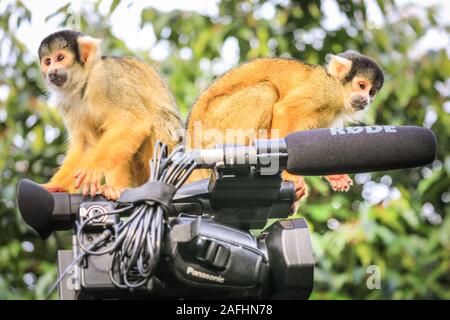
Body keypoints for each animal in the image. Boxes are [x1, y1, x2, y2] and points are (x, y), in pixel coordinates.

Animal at [38, 30, 182, 200]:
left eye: (60, 58)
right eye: (48, 62)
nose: (52, 72)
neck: (83, 85)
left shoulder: (106, 80)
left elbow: (134, 122)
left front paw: (93, 169)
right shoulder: (66, 103)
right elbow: (86, 145)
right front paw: (56, 185)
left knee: (156, 119)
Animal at [186, 50, 384, 200]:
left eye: (371, 92)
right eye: (361, 85)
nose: (365, 100)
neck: (338, 90)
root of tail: (191, 140)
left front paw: (334, 175)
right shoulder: (323, 90)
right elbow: (285, 111)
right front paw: (289, 176)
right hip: (215, 127)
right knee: (265, 91)